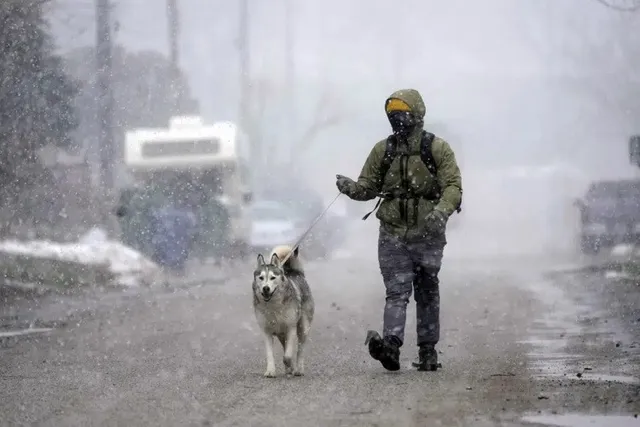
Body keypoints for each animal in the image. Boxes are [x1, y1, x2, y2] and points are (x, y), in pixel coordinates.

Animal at [254, 244, 316, 378]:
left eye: (272, 277)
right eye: (261, 277)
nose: (266, 288)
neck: (273, 306)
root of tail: (295, 273)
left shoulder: (290, 328)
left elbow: (287, 356)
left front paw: (290, 365)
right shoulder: (266, 331)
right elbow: (270, 354)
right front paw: (270, 371)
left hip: (303, 327)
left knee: (300, 349)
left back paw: (298, 369)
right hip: (281, 334)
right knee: (285, 345)